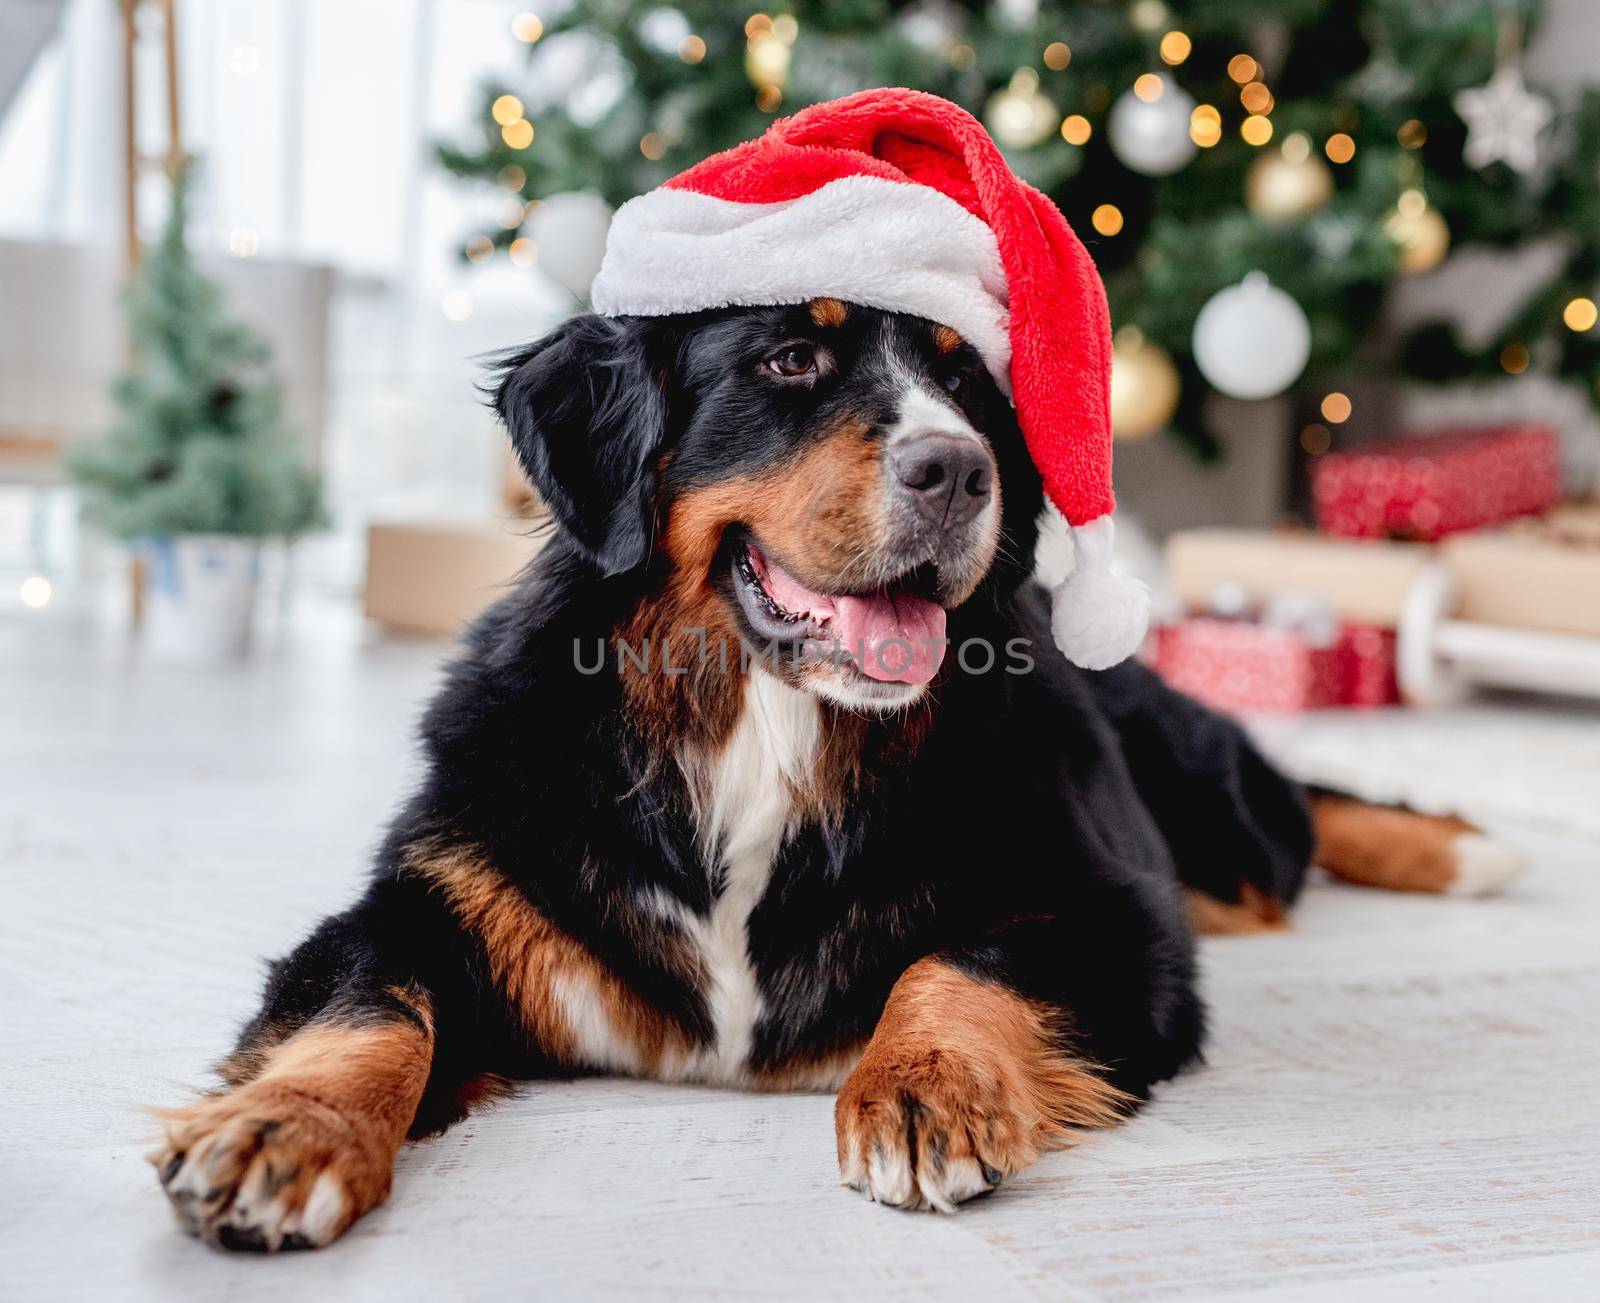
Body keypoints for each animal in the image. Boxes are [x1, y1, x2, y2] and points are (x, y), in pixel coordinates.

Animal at [152, 297, 1523, 1254]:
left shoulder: (1116, 920)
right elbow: (368, 1006)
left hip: (1211, 822)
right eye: (789, 362)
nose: (958, 468)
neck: (765, 727)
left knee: (1294, 814)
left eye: (966, 378)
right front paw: (283, 1133)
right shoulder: (435, 894)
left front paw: (922, 1089)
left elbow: (960, 960)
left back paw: (1463, 846)